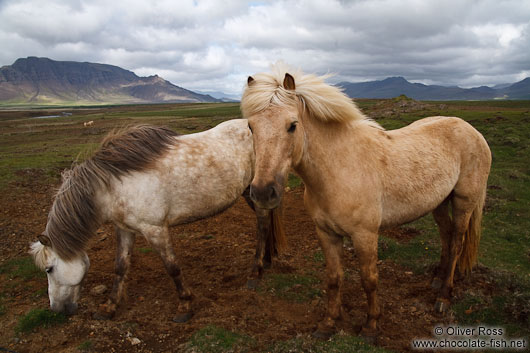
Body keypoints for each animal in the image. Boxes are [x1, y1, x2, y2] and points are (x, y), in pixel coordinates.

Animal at [29, 119, 284, 320]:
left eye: (49, 269)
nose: (56, 309)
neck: (113, 185)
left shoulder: (155, 229)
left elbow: (172, 267)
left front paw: (185, 305)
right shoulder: (124, 229)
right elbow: (120, 266)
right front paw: (109, 307)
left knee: (262, 225)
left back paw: (255, 272)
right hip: (250, 193)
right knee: (266, 222)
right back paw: (268, 260)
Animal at [241, 63, 488, 338]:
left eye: (292, 125)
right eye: (251, 127)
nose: (263, 192)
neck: (340, 169)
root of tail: (472, 130)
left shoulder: (365, 235)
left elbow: (369, 279)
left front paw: (371, 325)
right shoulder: (326, 233)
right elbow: (334, 277)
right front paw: (328, 323)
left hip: (464, 202)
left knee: (456, 243)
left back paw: (444, 297)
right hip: (439, 203)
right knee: (446, 236)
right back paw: (436, 279)